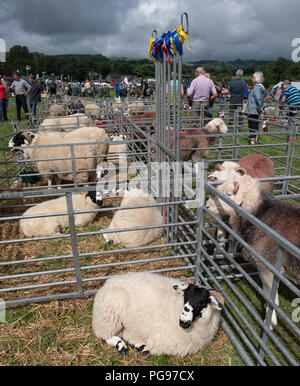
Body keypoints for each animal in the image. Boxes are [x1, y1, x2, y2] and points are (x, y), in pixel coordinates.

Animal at [92, 272, 224, 356]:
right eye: (185, 297)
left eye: (202, 303)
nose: (183, 322)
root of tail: (108, 282)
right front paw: (144, 348)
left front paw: (141, 346)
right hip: (107, 316)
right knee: (105, 335)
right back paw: (122, 346)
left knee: (125, 334)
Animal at [207, 175, 300, 328]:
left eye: (229, 194)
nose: (207, 206)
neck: (260, 215)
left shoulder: (268, 266)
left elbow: (271, 297)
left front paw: (270, 321)